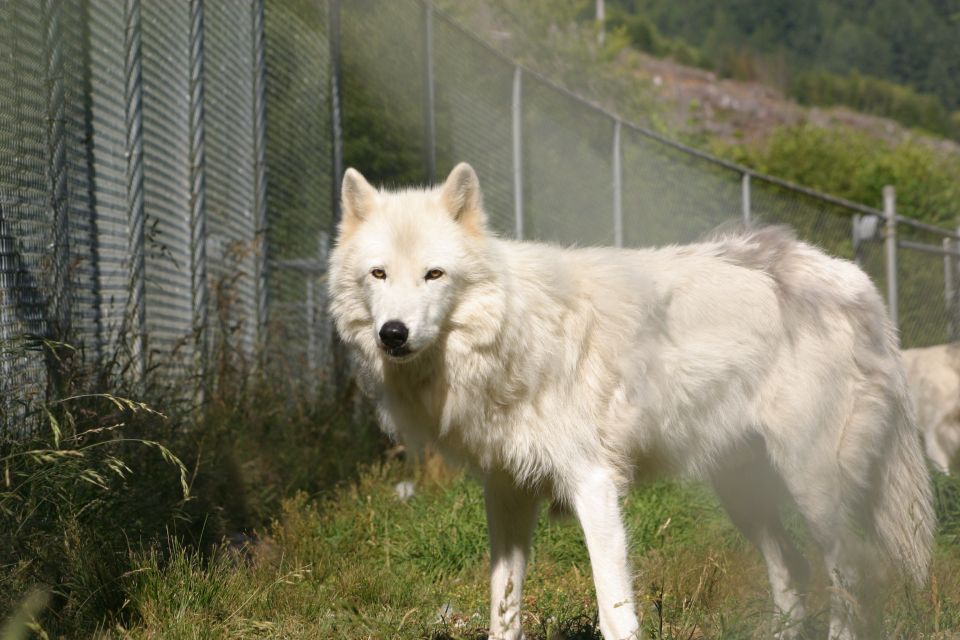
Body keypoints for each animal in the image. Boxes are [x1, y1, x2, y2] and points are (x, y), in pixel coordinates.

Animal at [330, 164, 936, 640]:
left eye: (434, 274)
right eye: (379, 274)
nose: (393, 334)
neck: (511, 332)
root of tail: (854, 281)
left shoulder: (594, 485)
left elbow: (615, 613)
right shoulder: (506, 493)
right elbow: (503, 610)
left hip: (812, 488)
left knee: (852, 573)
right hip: (744, 493)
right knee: (793, 570)